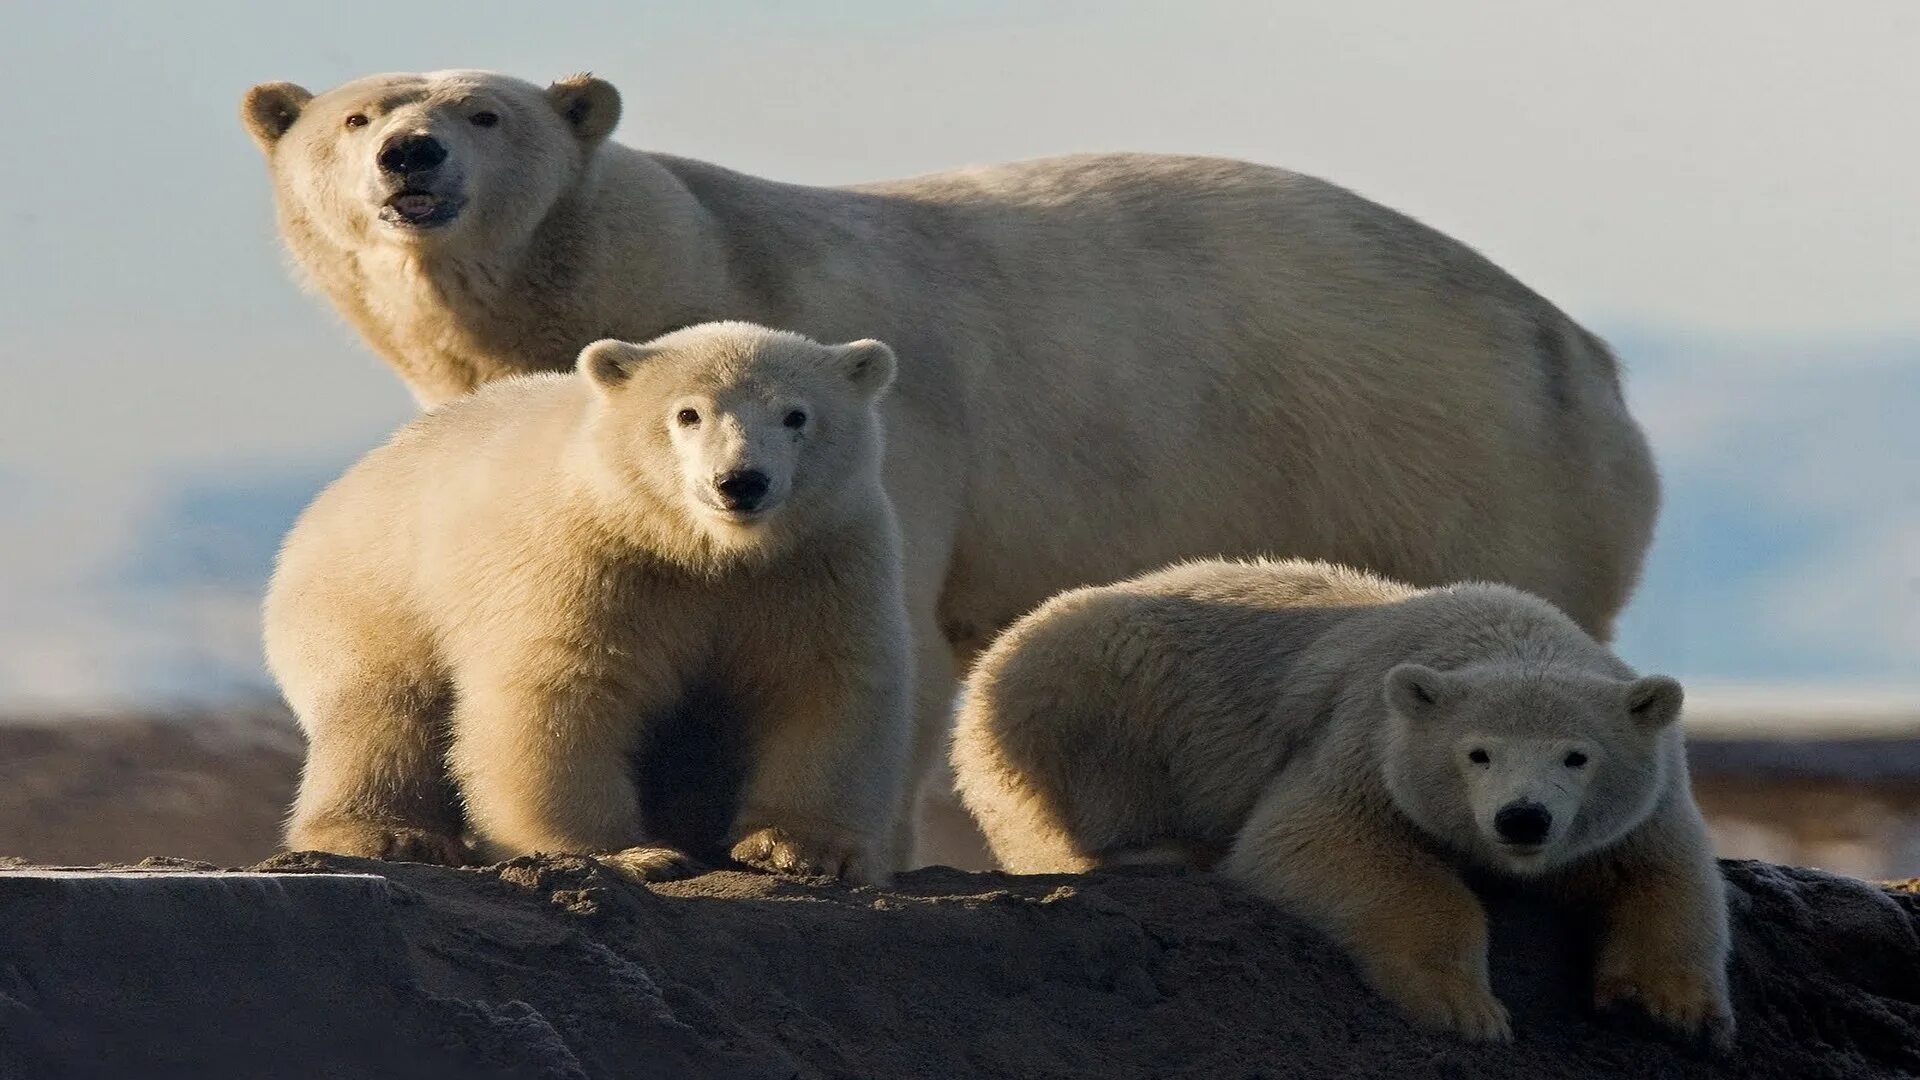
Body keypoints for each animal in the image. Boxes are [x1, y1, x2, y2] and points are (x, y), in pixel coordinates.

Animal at [236, 71, 1651, 864]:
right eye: (355, 114)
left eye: (486, 109)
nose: (410, 156)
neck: (690, 262)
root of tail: (1586, 355)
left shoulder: (880, 421)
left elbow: (885, 642)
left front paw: (830, 850)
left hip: (1447, 455)